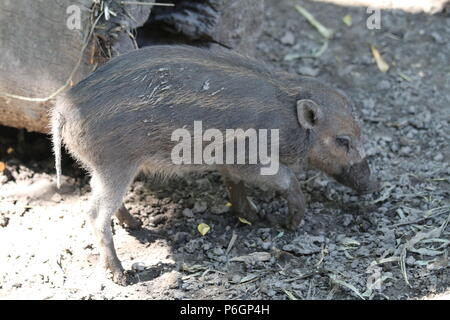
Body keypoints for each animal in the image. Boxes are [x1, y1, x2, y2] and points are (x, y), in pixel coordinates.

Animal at [50, 43, 380, 284]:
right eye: (342, 140)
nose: (373, 186)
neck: (288, 119)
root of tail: (62, 111)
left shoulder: (228, 160)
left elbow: (234, 185)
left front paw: (251, 215)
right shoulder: (252, 158)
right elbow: (286, 179)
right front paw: (291, 222)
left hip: (104, 168)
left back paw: (135, 224)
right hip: (114, 165)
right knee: (94, 214)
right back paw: (121, 275)